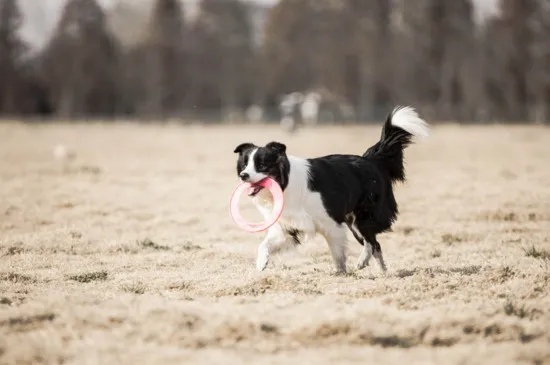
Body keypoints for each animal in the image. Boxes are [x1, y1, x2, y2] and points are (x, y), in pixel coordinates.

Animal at [234, 105, 432, 272]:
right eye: (245, 164)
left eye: (262, 165)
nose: (243, 175)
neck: (286, 185)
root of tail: (370, 159)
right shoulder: (287, 228)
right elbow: (264, 245)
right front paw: (260, 264)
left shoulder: (331, 223)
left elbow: (337, 253)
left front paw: (341, 273)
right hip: (354, 221)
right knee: (373, 243)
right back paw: (375, 268)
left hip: (363, 217)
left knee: (372, 242)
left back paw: (370, 265)